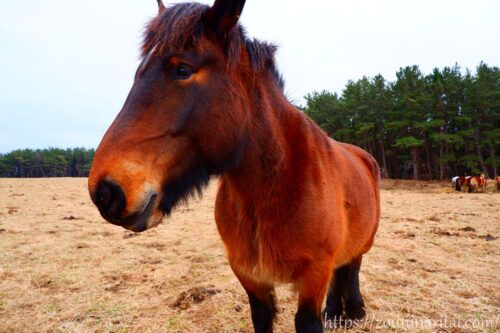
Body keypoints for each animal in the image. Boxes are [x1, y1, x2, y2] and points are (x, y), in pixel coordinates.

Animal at [88, 1, 380, 330]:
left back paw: (354, 310)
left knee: (353, 265)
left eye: (182, 69)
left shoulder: (313, 275)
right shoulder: (250, 276)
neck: (277, 186)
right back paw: (334, 311)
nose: (105, 191)